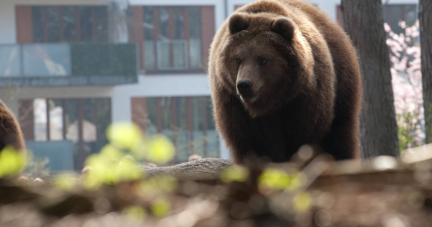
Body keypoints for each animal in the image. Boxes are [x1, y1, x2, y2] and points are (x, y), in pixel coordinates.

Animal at [208, 0, 362, 163]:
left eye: (262, 59)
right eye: (238, 59)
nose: (244, 85)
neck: (270, 103)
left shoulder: (304, 99)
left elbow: (302, 137)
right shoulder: (234, 105)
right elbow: (253, 142)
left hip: (342, 88)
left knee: (340, 135)